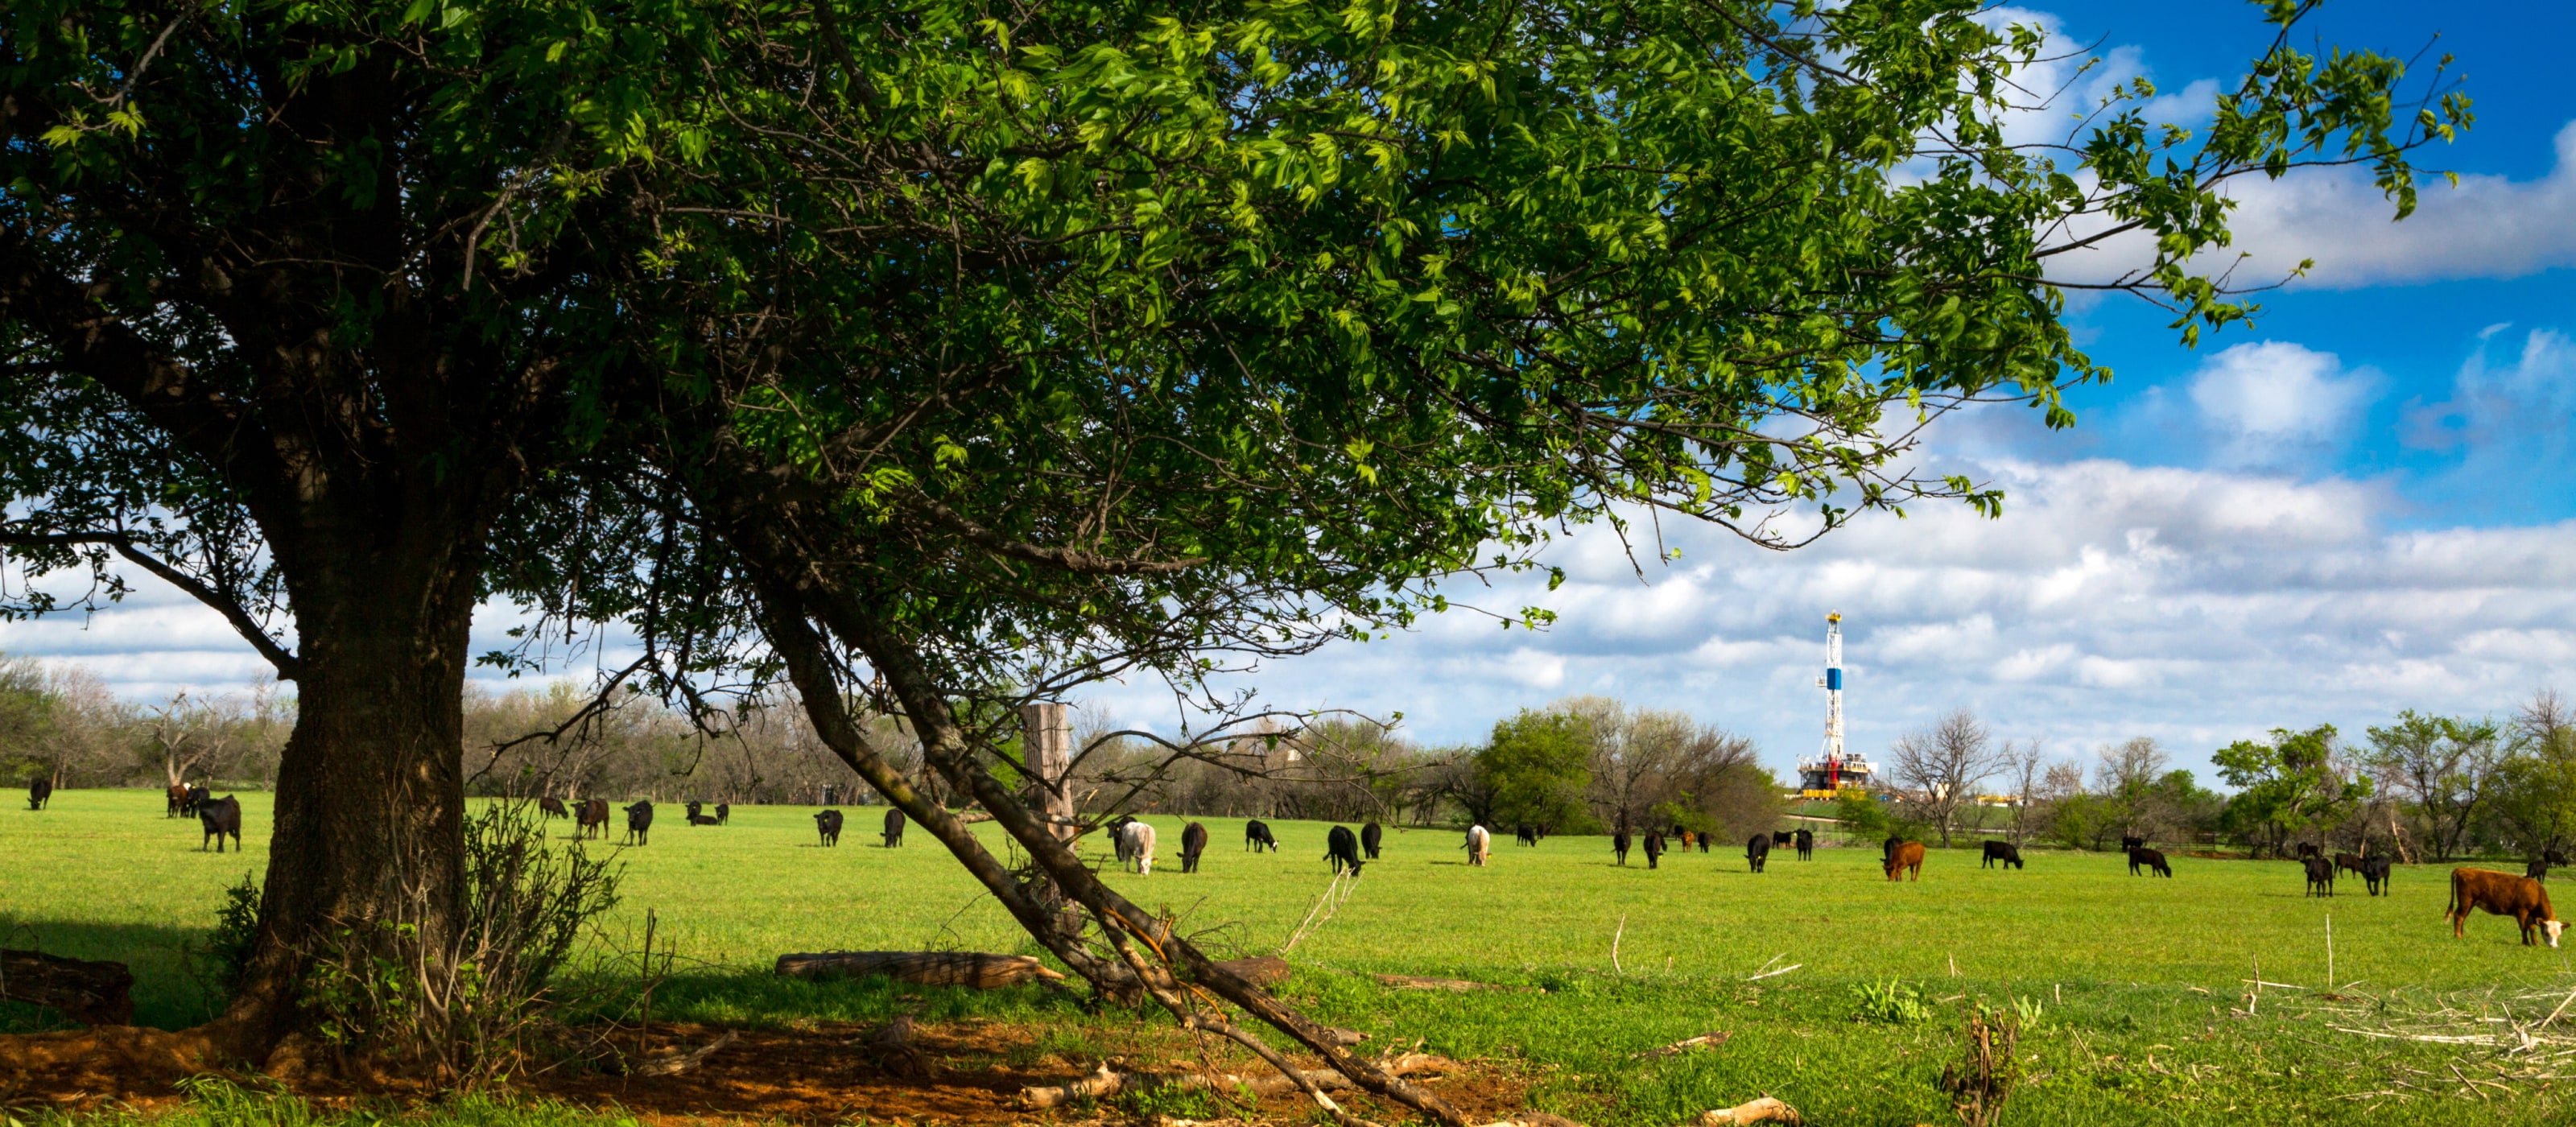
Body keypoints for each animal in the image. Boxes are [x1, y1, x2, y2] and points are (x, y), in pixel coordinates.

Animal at [2449, 867, 2565, 947]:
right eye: (2547, 933)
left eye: (2559, 935)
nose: (2553, 946)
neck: (2536, 892)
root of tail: (2463, 869)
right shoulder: (2522, 911)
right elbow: (2524, 927)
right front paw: (2526, 943)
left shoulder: (2531, 915)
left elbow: (2532, 928)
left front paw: (2535, 943)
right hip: (2466, 901)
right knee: (2459, 916)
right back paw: (2458, 936)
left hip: (2469, 904)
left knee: (2462, 917)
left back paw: (2460, 935)